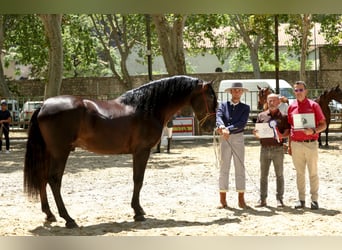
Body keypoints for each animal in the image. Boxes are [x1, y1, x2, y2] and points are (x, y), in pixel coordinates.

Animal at [24, 75, 218, 228]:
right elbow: (138, 180)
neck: (147, 108)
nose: (211, 126)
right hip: (60, 152)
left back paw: (50, 215)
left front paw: (138, 210)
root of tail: (43, 106)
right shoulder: (142, 151)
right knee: (54, 180)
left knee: (42, 178)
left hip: (48, 152)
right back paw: (68, 219)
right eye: (211, 98)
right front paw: (138, 212)